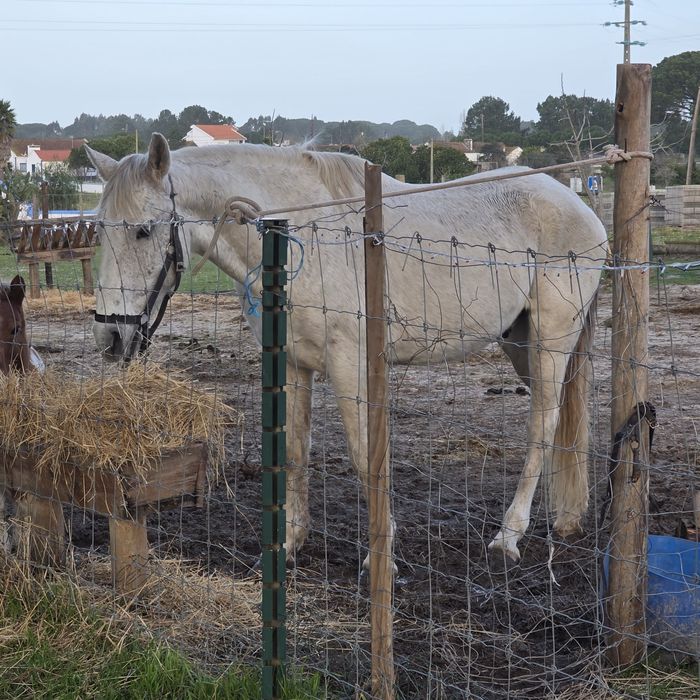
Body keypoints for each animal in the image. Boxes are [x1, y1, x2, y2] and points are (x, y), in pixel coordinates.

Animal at [86, 133, 608, 567]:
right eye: (99, 229)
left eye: (143, 230)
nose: (111, 337)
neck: (298, 235)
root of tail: (580, 208)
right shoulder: (292, 362)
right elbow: (294, 450)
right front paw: (289, 544)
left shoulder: (349, 364)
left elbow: (364, 458)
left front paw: (382, 556)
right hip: (520, 343)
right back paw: (567, 518)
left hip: (549, 344)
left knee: (543, 426)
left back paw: (508, 536)